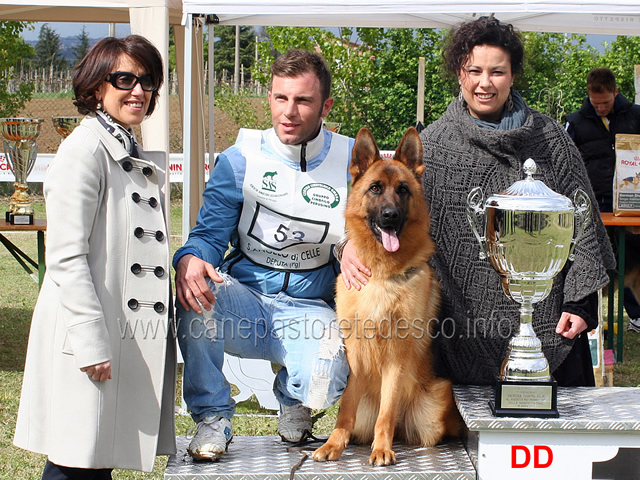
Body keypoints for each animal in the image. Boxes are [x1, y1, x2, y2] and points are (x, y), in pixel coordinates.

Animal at [314, 126, 460, 464]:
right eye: (375, 188)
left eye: (403, 190)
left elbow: (387, 410)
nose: (391, 216)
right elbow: (345, 409)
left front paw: (382, 448)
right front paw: (333, 444)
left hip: (436, 401)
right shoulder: (354, 354)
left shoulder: (396, 355)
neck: (382, 276)